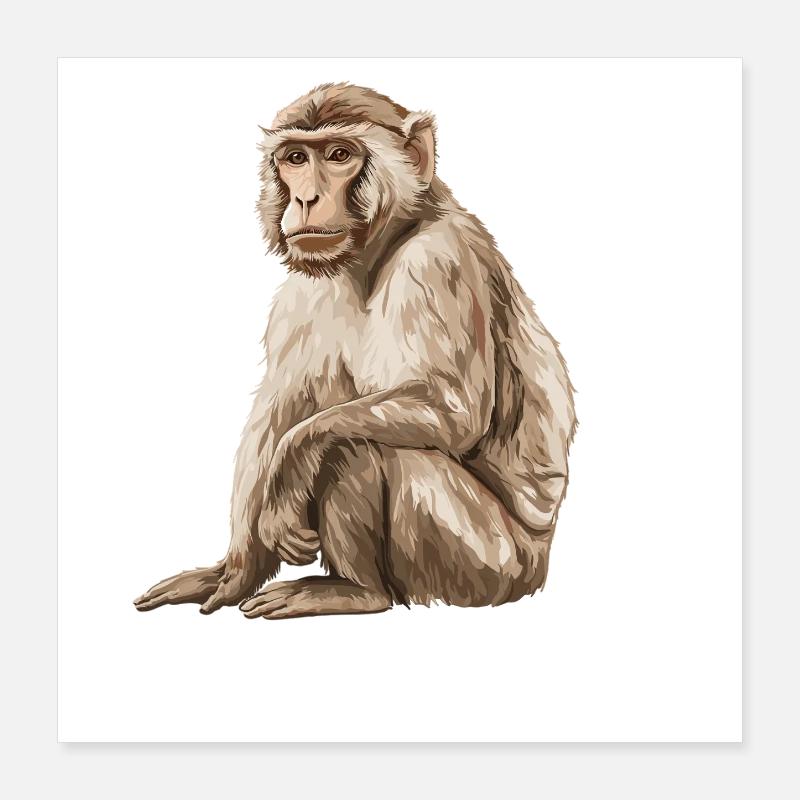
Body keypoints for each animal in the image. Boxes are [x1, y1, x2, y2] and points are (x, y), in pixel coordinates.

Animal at [134, 83, 577, 619]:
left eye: (339, 155)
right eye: (296, 158)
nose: (305, 197)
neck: (379, 248)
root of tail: (537, 567)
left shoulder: (438, 261)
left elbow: (452, 413)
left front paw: (289, 470)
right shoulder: (301, 294)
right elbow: (277, 409)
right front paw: (235, 571)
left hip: (485, 565)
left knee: (358, 441)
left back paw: (357, 590)